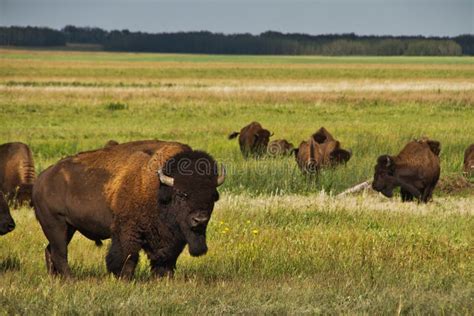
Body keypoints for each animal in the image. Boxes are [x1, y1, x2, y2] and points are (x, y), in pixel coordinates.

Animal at [33, 141, 226, 278]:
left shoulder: (171, 240)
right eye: (181, 194)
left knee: (50, 251)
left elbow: (166, 259)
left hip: (68, 228)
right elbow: (128, 256)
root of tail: (41, 179)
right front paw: (125, 278)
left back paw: (55, 279)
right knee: (60, 253)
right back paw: (70, 279)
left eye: (212, 196)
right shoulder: (128, 230)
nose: (200, 220)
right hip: (56, 225)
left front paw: (164, 278)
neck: (159, 188)